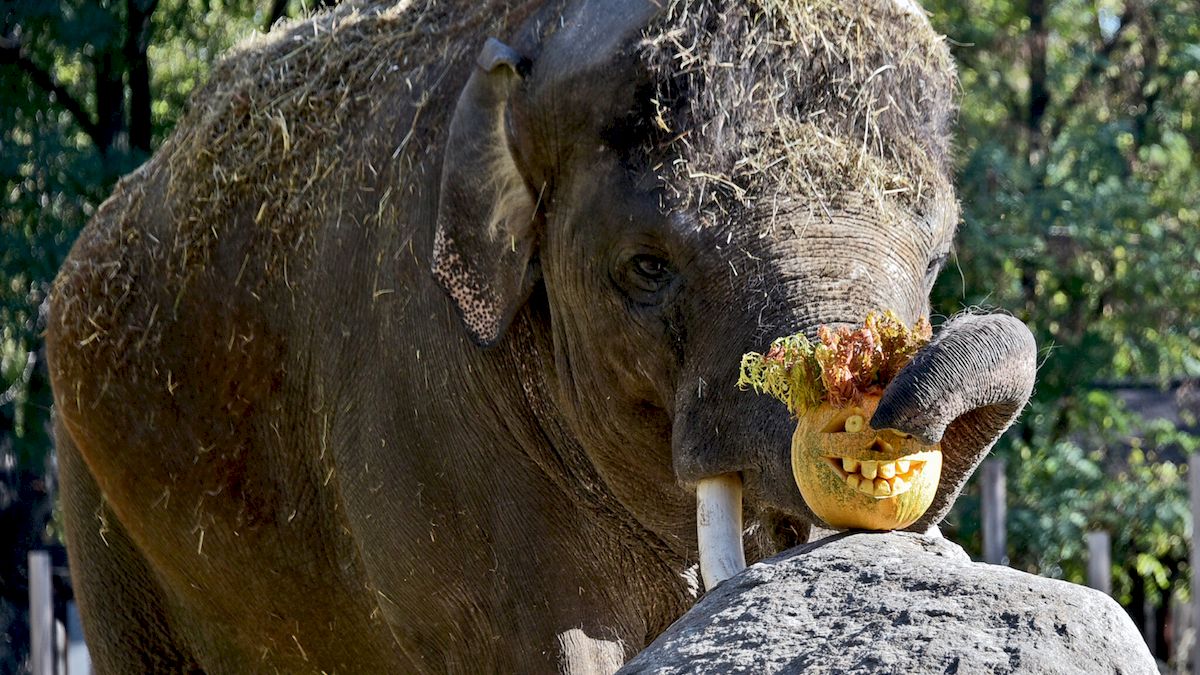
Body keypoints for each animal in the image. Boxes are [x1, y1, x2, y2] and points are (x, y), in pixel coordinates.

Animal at [46, 0, 1036, 667]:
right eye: (647, 267)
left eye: (938, 254)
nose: (875, 409)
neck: (540, 32)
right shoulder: (421, 404)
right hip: (97, 506)